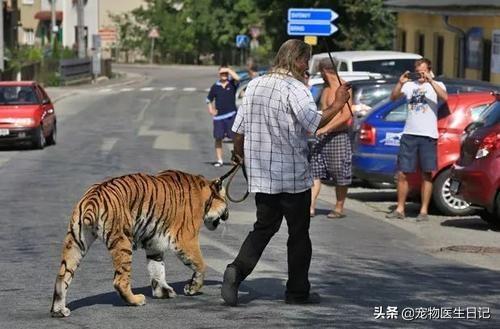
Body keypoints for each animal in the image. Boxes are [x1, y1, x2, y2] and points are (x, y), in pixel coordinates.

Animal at [48, 168, 232, 316]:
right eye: (227, 203)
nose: (228, 215)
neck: (205, 195)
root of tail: (92, 197)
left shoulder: (154, 244)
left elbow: (157, 269)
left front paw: (163, 292)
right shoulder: (186, 239)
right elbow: (201, 265)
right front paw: (192, 288)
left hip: (76, 242)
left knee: (62, 276)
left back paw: (59, 310)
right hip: (123, 242)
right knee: (120, 280)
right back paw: (136, 300)